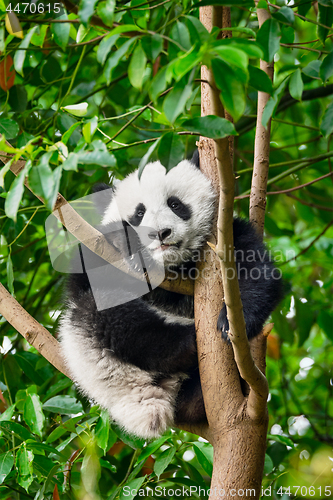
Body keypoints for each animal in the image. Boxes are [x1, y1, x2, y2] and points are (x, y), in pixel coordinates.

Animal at [58, 155, 282, 438]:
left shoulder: (226, 236)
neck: (173, 265)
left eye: (175, 204)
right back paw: (186, 343)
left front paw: (231, 323)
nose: (160, 233)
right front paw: (127, 242)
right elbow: (92, 272)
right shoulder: (96, 250)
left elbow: (256, 272)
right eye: (139, 213)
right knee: (118, 322)